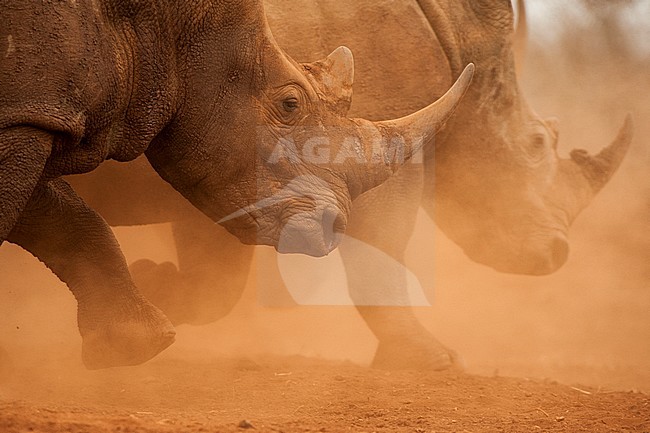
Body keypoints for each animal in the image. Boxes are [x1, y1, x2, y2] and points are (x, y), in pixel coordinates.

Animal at [0, 0, 474, 368]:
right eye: (290, 104)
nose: (336, 226)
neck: (156, 23)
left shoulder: (31, 113)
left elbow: (64, 217)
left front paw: (133, 344)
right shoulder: (27, 114)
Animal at [69, 0, 632, 370]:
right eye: (537, 144)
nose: (556, 255)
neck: (460, 36)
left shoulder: (232, 158)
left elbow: (217, 280)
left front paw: (156, 283)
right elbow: (382, 251)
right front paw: (434, 361)